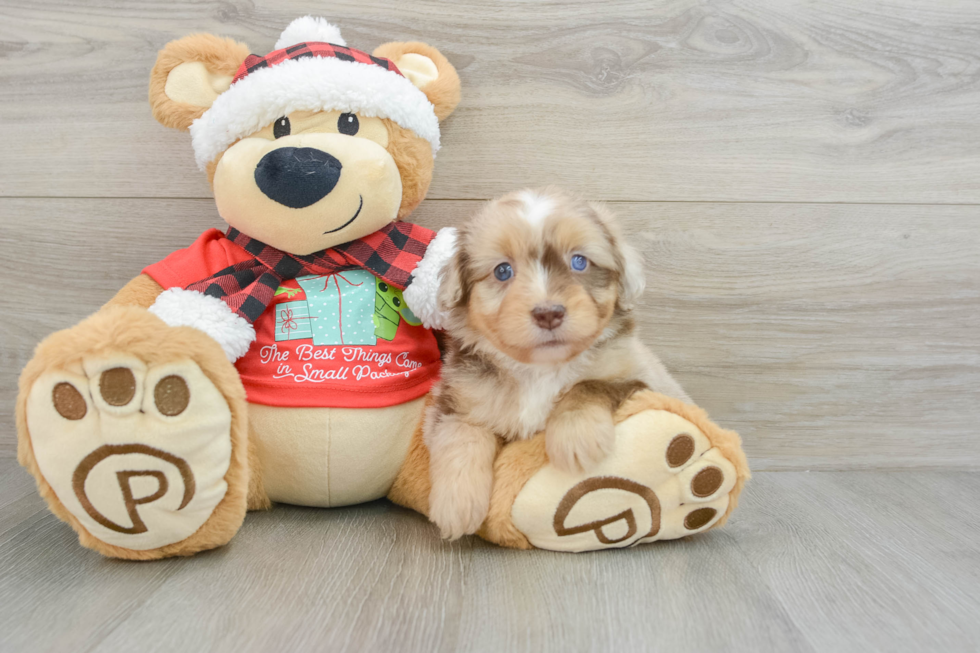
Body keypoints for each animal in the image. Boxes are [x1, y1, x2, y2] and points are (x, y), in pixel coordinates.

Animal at [426, 186, 688, 536]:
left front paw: (575, 437)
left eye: (579, 261)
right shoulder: (457, 399)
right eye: (502, 271)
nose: (548, 313)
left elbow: (589, 386)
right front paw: (457, 505)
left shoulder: (641, 378)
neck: (540, 369)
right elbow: (462, 435)